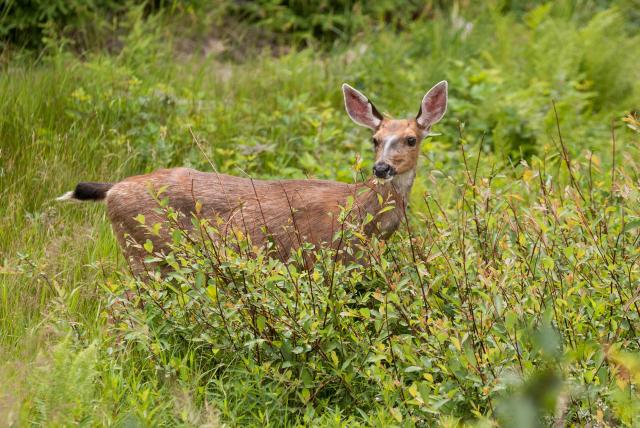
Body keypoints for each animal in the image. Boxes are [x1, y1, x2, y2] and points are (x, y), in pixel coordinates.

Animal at [58, 82, 450, 272]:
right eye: (375, 139)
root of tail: (114, 189)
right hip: (148, 250)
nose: (381, 168)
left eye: (411, 139)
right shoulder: (327, 254)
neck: (362, 213)